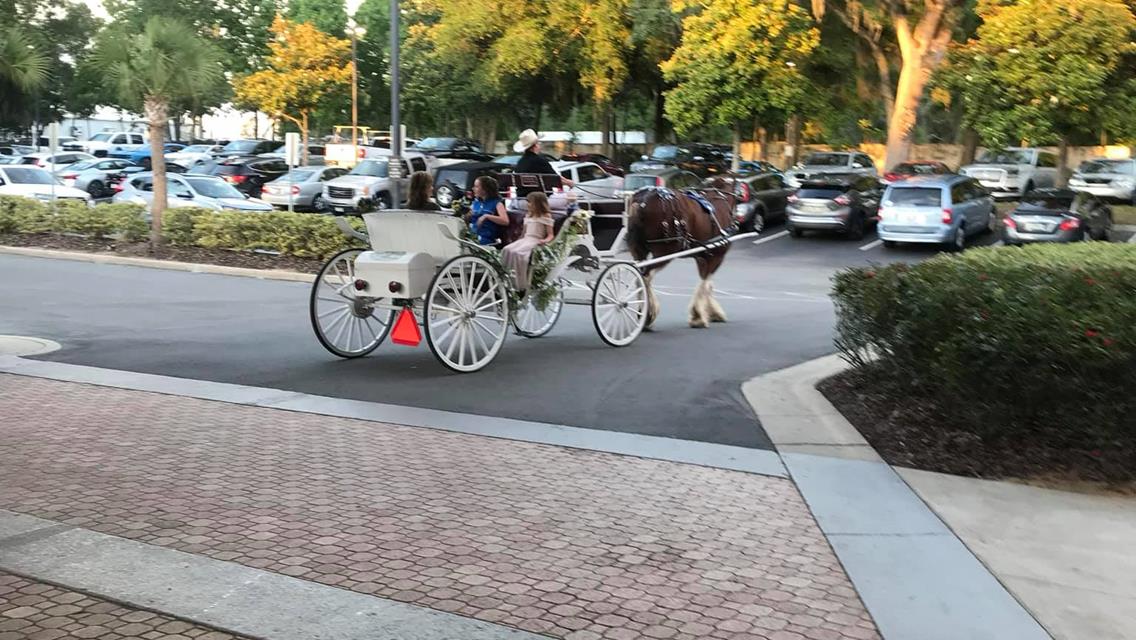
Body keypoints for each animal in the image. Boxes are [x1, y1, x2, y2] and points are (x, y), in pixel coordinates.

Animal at [622, 181, 736, 327]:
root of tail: (642, 202)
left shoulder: (702, 257)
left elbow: (707, 283)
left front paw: (710, 313)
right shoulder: (717, 255)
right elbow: (706, 283)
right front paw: (699, 316)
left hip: (639, 251)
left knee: (639, 277)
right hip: (664, 251)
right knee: (646, 277)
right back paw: (649, 314)